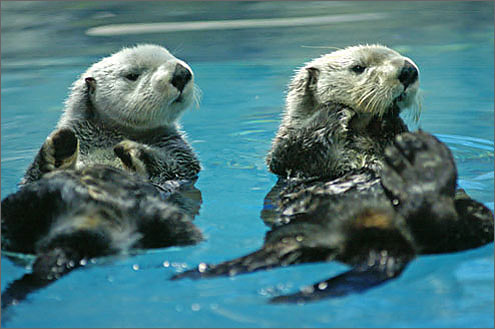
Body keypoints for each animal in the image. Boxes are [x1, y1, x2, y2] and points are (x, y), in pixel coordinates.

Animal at [172, 44, 494, 302]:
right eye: (358, 67)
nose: (408, 70)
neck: (362, 134)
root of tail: (385, 240)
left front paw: (391, 122)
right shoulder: (286, 153)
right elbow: (295, 148)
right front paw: (333, 111)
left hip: (475, 213)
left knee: (451, 230)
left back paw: (422, 164)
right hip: (304, 232)